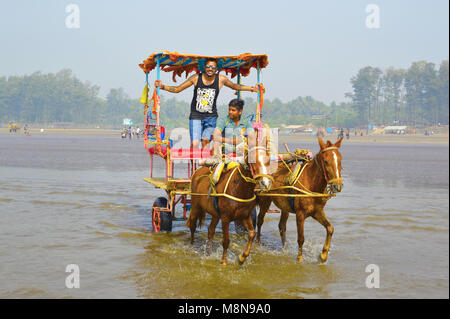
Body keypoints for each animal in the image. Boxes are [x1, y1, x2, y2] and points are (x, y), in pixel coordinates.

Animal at [187, 135, 272, 264]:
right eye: (253, 160)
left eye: (268, 160)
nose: (265, 183)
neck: (238, 188)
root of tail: (197, 171)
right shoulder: (226, 218)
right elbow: (226, 241)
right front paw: (224, 261)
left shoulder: (244, 216)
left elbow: (252, 233)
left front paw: (242, 258)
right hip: (196, 206)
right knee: (192, 225)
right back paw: (192, 246)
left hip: (215, 214)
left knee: (210, 230)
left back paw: (210, 252)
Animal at [256, 136, 342, 264]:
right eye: (326, 161)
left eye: (340, 160)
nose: (337, 186)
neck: (311, 183)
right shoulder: (300, 214)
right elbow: (301, 238)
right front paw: (299, 259)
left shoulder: (317, 211)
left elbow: (330, 228)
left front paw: (323, 255)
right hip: (264, 201)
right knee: (260, 221)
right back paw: (257, 243)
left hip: (285, 206)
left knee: (282, 226)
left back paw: (284, 248)